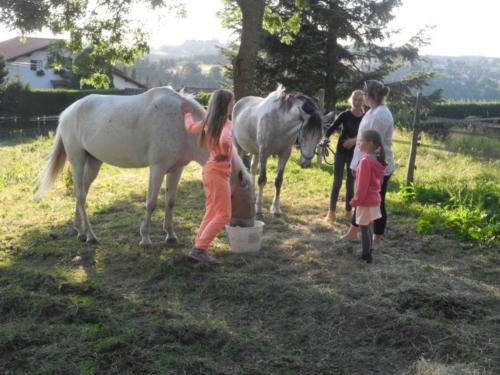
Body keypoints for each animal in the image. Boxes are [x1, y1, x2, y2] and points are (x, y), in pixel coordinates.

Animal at [36, 86, 254, 248]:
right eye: (249, 199)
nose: (248, 226)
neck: (181, 126)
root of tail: (67, 112)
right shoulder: (157, 168)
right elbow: (151, 203)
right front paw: (146, 238)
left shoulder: (176, 169)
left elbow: (170, 201)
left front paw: (170, 235)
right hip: (78, 161)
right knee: (81, 196)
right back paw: (90, 236)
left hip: (93, 163)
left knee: (81, 194)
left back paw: (79, 231)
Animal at [231, 85, 322, 219]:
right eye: (304, 135)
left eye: (319, 137)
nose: (305, 164)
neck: (280, 122)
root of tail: (239, 102)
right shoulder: (264, 153)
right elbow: (262, 180)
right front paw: (258, 210)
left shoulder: (284, 154)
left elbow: (278, 181)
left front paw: (276, 209)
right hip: (239, 147)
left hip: (256, 152)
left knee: (252, 169)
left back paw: (252, 195)